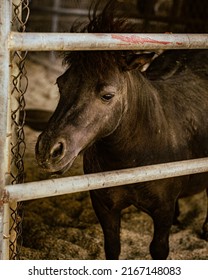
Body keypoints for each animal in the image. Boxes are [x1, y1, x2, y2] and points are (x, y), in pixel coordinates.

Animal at [35, 0, 207, 260]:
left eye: (107, 95)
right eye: (60, 83)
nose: (48, 150)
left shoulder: (162, 211)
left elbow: (159, 249)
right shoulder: (105, 208)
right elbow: (112, 248)